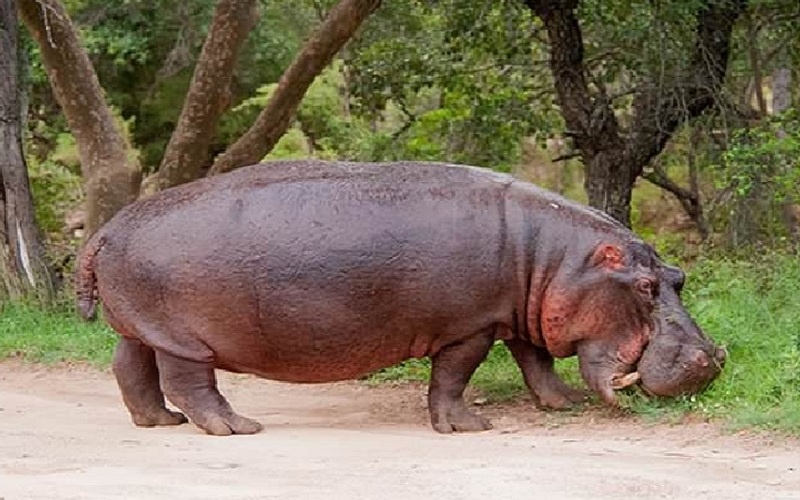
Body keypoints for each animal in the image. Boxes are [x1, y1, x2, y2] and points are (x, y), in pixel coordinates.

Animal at [75, 160, 725, 436]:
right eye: (644, 286)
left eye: (679, 275)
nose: (711, 359)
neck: (552, 258)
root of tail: (106, 227)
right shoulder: (470, 326)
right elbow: (454, 377)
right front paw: (469, 427)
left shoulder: (515, 316)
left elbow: (536, 362)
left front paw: (563, 404)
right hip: (184, 337)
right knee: (190, 382)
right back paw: (237, 428)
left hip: (142, 324)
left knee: (130, 366)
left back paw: (159, 422)